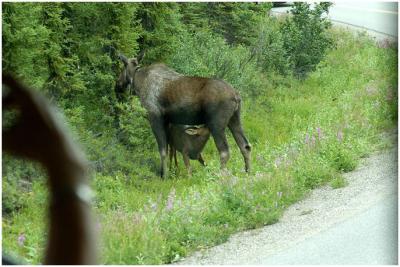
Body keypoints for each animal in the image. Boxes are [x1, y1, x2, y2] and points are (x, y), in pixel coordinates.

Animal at [115, 52, 252, 178]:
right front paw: (167, 171)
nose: (117, 84)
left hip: (216, 124)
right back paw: (248, 173)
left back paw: (220, 177)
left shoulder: (154, 116)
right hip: (234, 119)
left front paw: (164, 176)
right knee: (245, 146)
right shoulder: (167, 121)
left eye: (122, 68)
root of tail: (236, 96)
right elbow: (170, 150)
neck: (138, 81)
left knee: (224, 152)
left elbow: (163, 151)